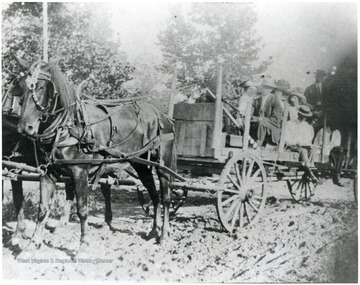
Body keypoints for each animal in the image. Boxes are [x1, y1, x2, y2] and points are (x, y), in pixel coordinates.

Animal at [16, 57, 176, 253]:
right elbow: (43, 208)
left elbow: (82, 210)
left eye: (41, 87)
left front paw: (83, 244)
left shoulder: (80, 172)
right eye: (21, 86)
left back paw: (164, 235)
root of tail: (163, 116)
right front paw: (33, 243)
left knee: (166, 197)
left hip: (163, 163)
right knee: (154, 195)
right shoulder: (47, 173)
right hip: (140, 164)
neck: (68, 127)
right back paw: (154, 230)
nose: (25, 127)